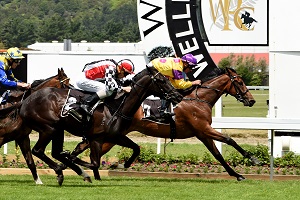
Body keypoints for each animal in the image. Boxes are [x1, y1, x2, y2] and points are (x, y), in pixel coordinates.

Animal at [19, 66, 183, 186]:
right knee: (38, 150)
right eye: (162, 80)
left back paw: (69, 172)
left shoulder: (115, 136)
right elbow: (94, 163)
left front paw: (120, 165)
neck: (117, 106)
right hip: (49, 128)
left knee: (55, 152)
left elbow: (136, 149)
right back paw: (62, 170)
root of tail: (25, 102)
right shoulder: (96, 138)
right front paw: (75, 159)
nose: (178, 96)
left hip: (59, 129)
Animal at [67, 67, 258, 181]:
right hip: (111, 136)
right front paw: (253, 158)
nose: (252, 100)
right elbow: (229, 139)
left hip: (111, 136)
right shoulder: (204, 128)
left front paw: (237, 174)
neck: (198, 99)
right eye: (240, 82)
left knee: (83, 148)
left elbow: (217, 154)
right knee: (88, 151)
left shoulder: (202, 133)